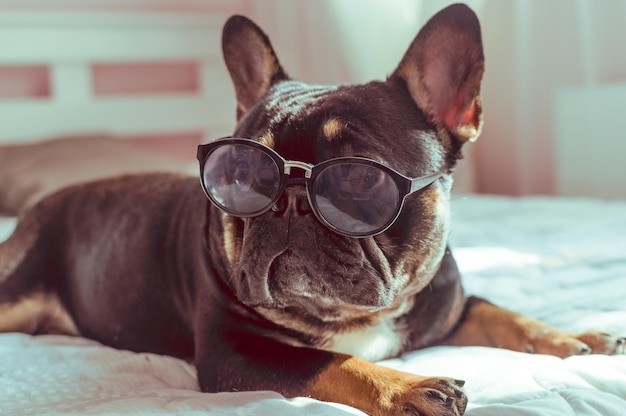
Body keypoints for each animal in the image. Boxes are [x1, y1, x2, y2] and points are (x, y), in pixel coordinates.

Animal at [0, 4, 620, 416]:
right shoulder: (235, 355)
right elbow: (330, 364)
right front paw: (408, 387)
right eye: (238, 176)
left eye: (359, 179)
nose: (289, 202)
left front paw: (574, 338)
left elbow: (501, 312)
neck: (356, 318)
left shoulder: (449, 305)